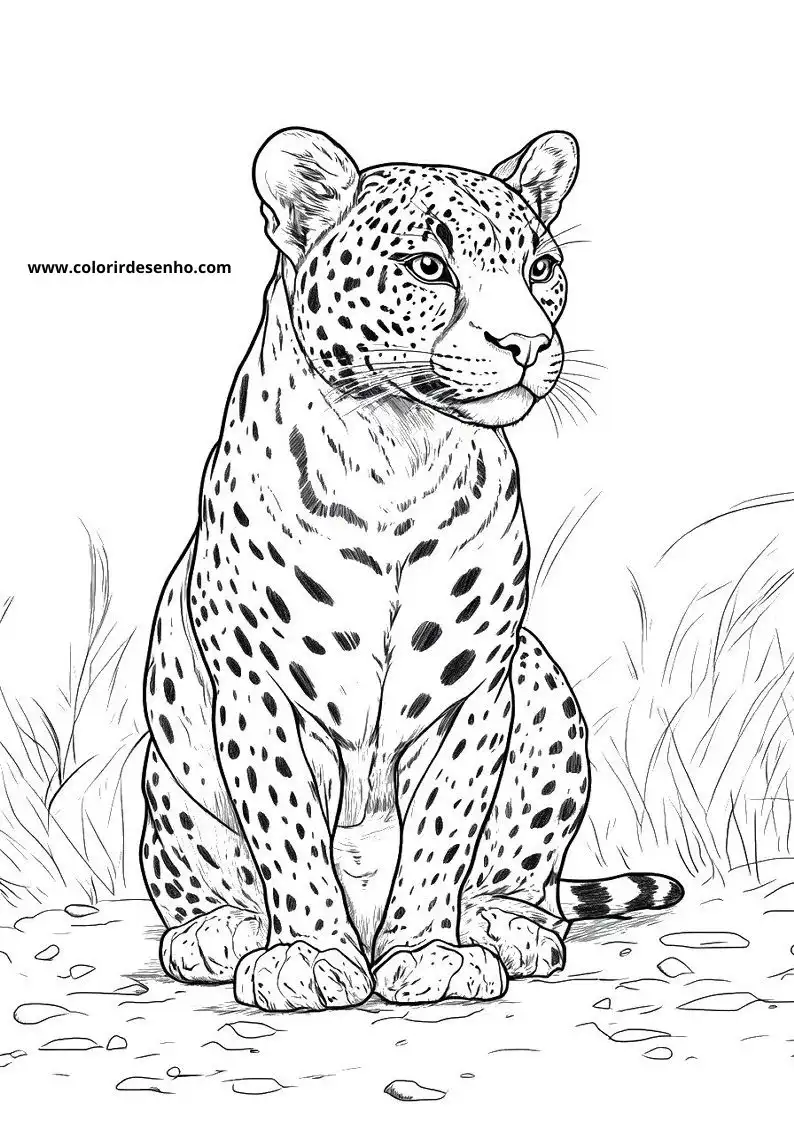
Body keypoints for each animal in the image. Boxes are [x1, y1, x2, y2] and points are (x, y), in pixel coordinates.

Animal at [140, 126, 683, 1012]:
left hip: (545, 690)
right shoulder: (257, 689)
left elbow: (445, 824)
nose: (527, 344)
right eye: (429, 266)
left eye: (542, 268)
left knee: (521, 873)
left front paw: (430, 950)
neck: (396, 453)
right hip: (167, 779)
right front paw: (309, 956)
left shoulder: (476, 690)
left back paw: (506, 923)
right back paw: (219, 928)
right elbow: (288, 828)